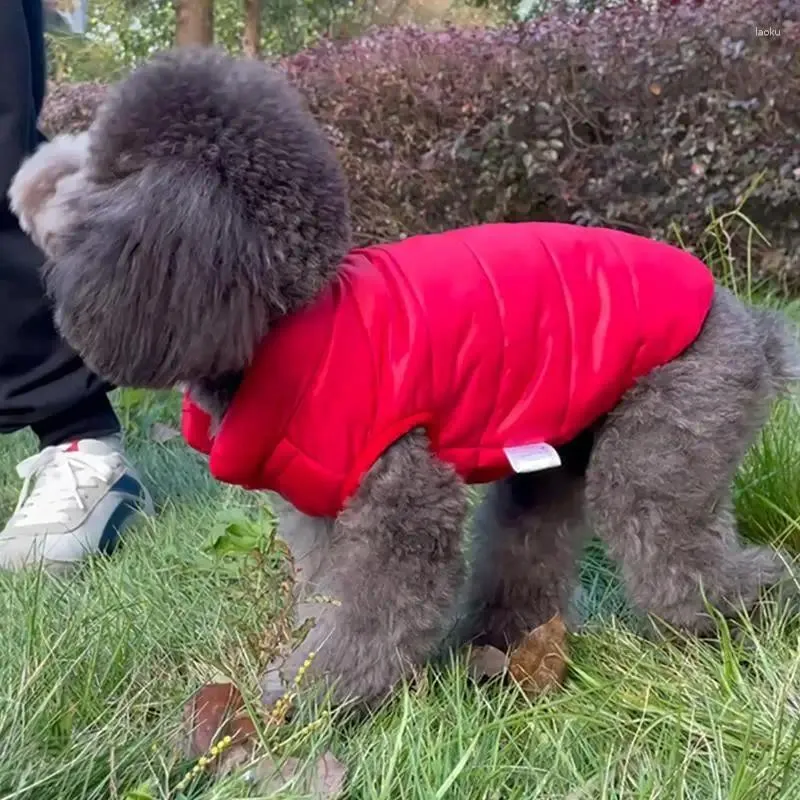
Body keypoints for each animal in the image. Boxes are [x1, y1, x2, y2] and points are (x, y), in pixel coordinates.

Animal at [12, 47, 800, 708]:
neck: (291, 316)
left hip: (673, 426)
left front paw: (319, 698)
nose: (30, 176)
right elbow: (329, 600)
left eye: (105, 162)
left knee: (681, 552)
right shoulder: (323, 511)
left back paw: (758, 612)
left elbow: (375, 610)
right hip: (558, 454)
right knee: (531, 549)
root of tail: (753, 326)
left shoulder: (398, 493)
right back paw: (498, 647)